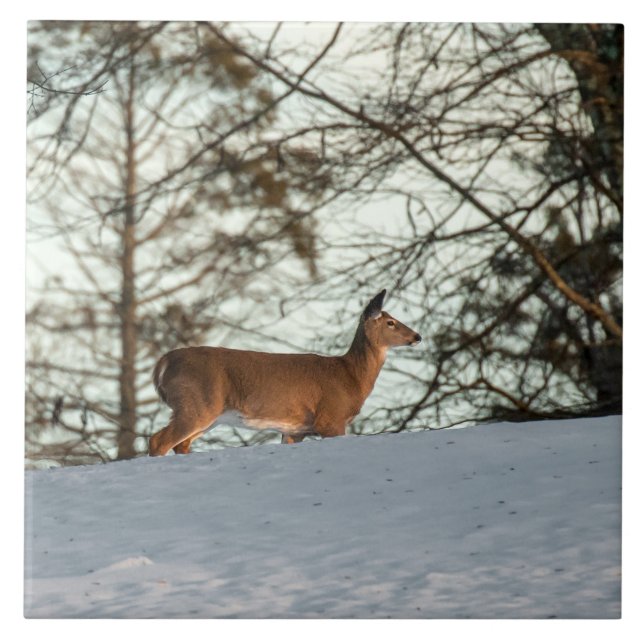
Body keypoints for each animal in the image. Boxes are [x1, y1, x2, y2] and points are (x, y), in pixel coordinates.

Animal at [148, 289, 421, 456]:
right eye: (390, 322)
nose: (417, 336)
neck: (350, 376)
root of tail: (162, 362)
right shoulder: (330, 418)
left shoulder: (295, 430)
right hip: (197, 403)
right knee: (159, 440)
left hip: (206, 414)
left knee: (180, 444)